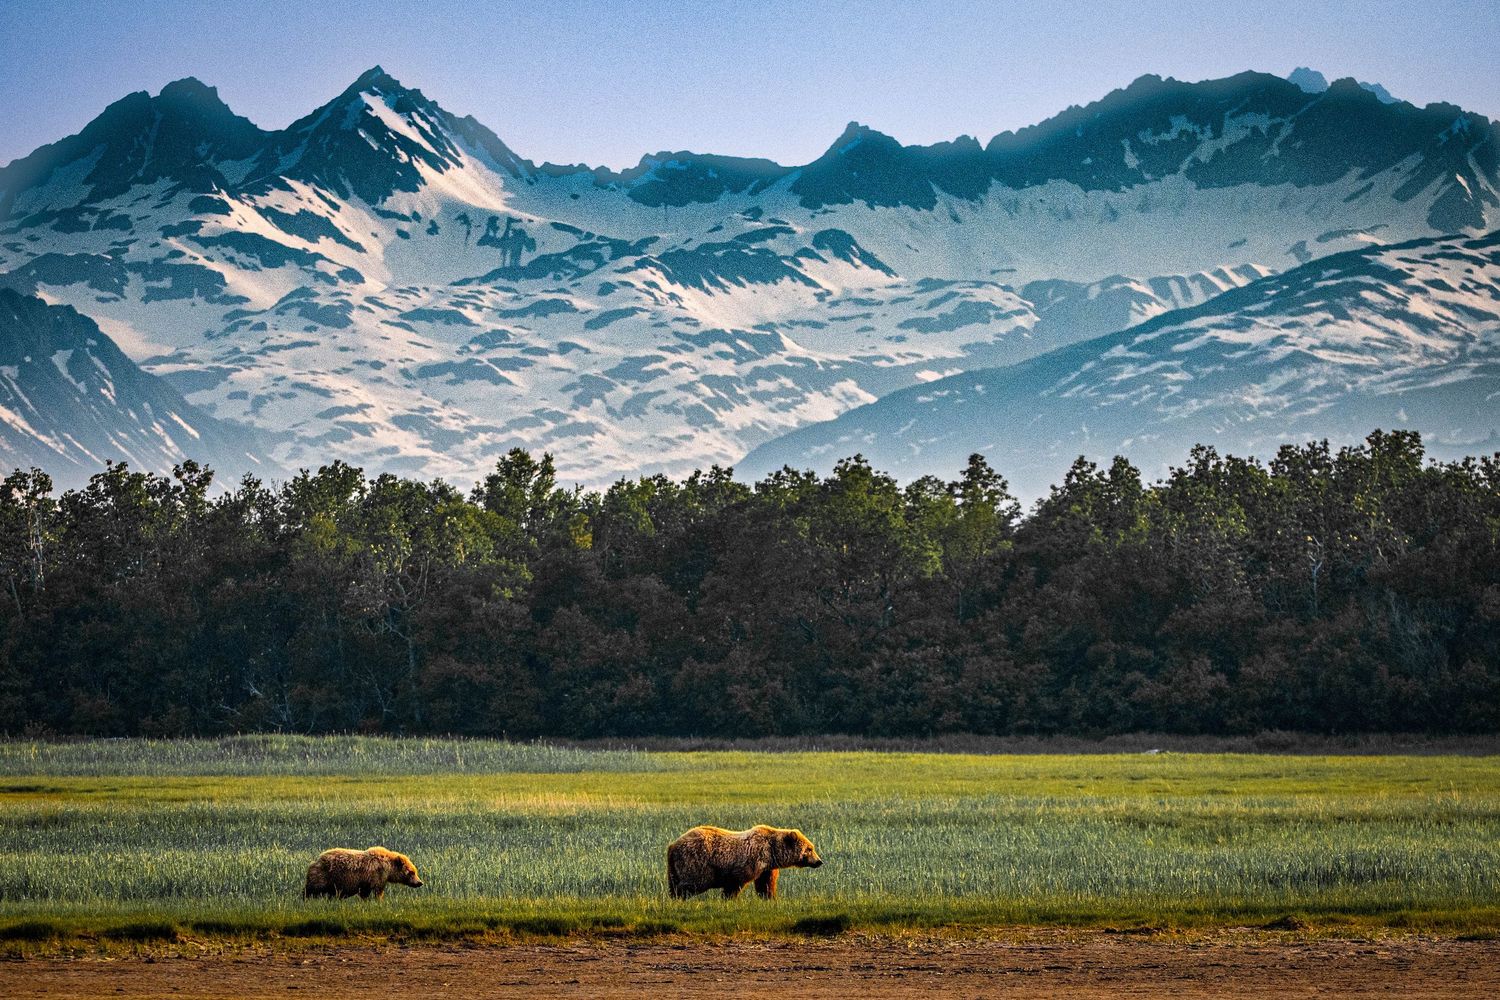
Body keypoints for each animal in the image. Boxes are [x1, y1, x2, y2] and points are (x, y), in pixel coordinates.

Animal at [666, 824, 822, 899]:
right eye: (809, 849)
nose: (819, 861)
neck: (771, 853)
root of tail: (672, 845)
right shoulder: (749, 862)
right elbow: (735, 883)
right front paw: (728, 898)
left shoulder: (766, 868)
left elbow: (765, 885)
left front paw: (770, 898)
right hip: (697, 862)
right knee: (693, 883)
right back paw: (679, 897)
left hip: (674, 867)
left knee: (674, 882)